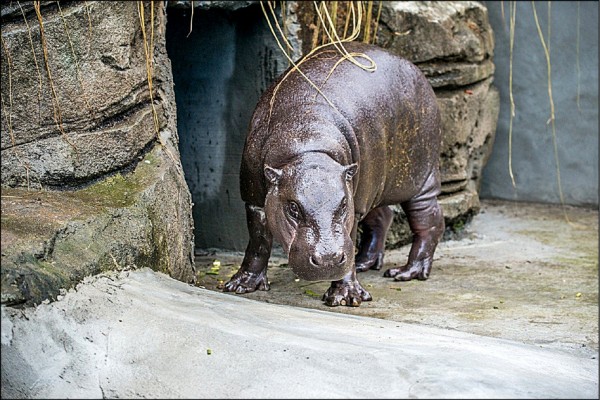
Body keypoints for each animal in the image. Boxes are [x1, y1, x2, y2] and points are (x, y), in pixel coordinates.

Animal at [225, 41, 446, 306]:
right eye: (293, 208)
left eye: (342, 205)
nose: (328, 259)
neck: (306, 139)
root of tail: (414, 68)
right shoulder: (254, 199)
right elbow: (258, 241)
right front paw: (240, 285)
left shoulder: (353, 202)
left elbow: (348, 239)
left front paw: (346, 296)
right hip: (370, 185)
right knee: (382, 217)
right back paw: (364, 263)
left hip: (419, 177)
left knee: (430, 221)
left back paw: (407, 273)